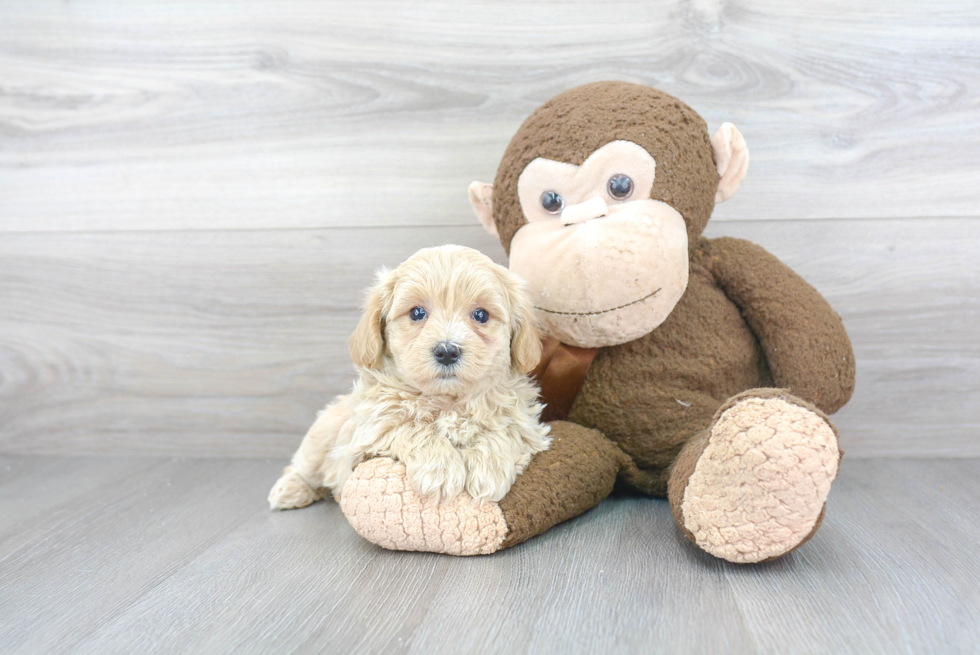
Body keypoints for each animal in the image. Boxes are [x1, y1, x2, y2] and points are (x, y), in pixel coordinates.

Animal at [268, 243, 552, 510]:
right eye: (417, 313)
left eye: (481, 315)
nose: (447, 351)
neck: (449, 401)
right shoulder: (371, 428)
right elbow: (410, 427)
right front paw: (440, 471)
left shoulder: (527, 425)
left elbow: (505, 429)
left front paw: (488, 469)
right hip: (322, 435)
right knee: (303, 467)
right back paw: (290, 489)